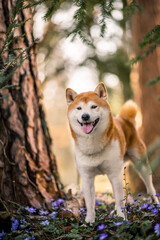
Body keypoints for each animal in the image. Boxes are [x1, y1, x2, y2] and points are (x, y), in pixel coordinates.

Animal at [66, 82, 158, 223]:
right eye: (79, 108)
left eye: (94, 106)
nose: (85, 116)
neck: (93, 145)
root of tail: (124, 120)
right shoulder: (87, 178)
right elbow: (90, 203)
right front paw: (89, 221)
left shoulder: (115, 174)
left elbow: (120, 201)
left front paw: (121, 218)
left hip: (142, 166)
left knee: (150, 188)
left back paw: (155, 205)